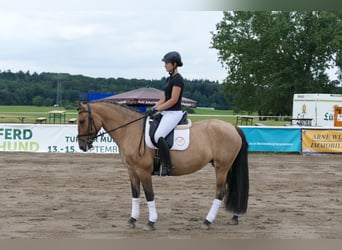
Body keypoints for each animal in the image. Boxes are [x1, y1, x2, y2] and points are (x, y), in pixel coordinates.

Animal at [77, 100, 248, 230]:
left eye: (82, 121)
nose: (82, 146)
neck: (130, 130)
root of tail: (232, 127)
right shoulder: (132, 170)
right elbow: (135, 194)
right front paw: (132, 220)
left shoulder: (143, 171)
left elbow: (149, 194)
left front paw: (151, 222)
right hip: (227, 168)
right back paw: (235, 217)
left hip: (222, 167)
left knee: (220, 191)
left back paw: (207, 221)